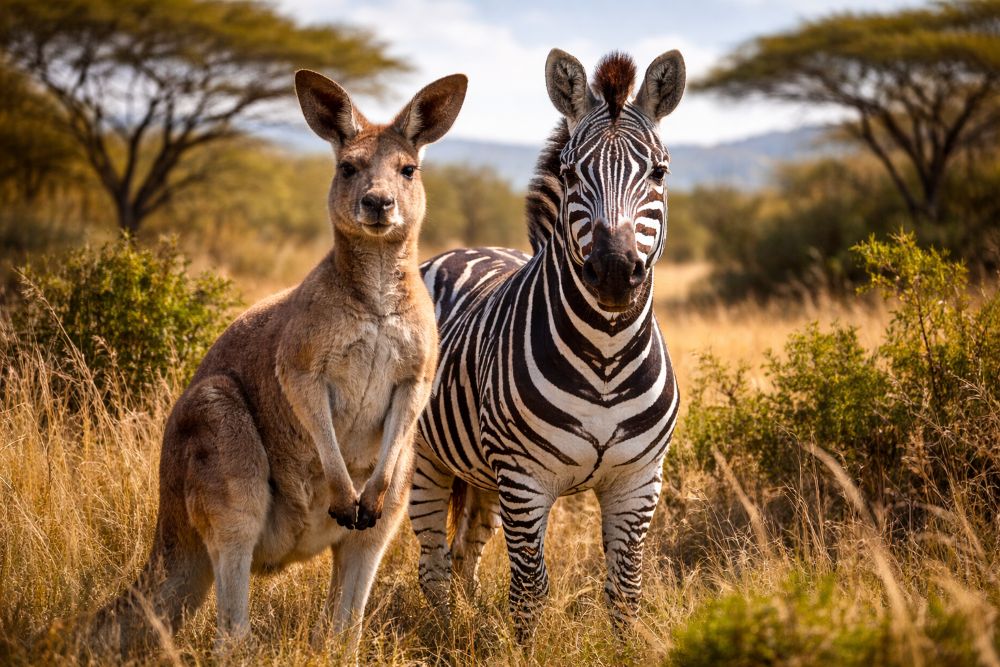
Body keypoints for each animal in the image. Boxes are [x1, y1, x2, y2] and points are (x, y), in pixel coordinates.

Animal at [409, 48, 685, 635]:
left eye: (659, 171)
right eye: (571, 172)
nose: (614, 273)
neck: (606, 357)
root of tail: (462, 250)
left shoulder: (639, 482)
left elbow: (625, 593)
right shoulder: (525, 479)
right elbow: (530, 593)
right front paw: (522, 645)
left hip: (484, 476)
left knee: (464, 556)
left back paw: (472, 629)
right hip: (426, 459)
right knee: (434, 566)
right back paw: (449, 635)